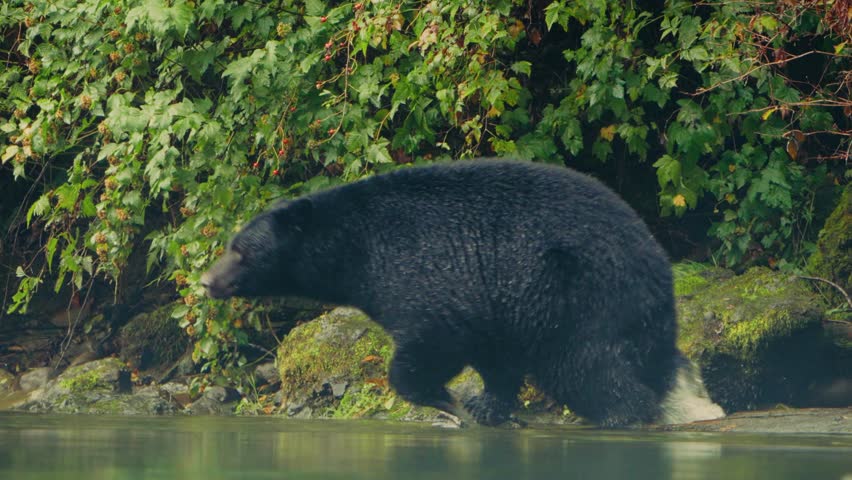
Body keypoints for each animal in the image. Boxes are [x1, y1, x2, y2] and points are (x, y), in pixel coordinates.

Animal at [201, 159, 682, 427]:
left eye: (242, 252)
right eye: (230, 244)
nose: (206, 281)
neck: (357, 248)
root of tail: (658, 262)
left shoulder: (425, 274)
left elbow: (432, 340)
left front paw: (450, 401)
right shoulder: (496, 304)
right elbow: (495, 358)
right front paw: (485, 407)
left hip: (580, 295)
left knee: (582, 365)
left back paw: (623, 415)